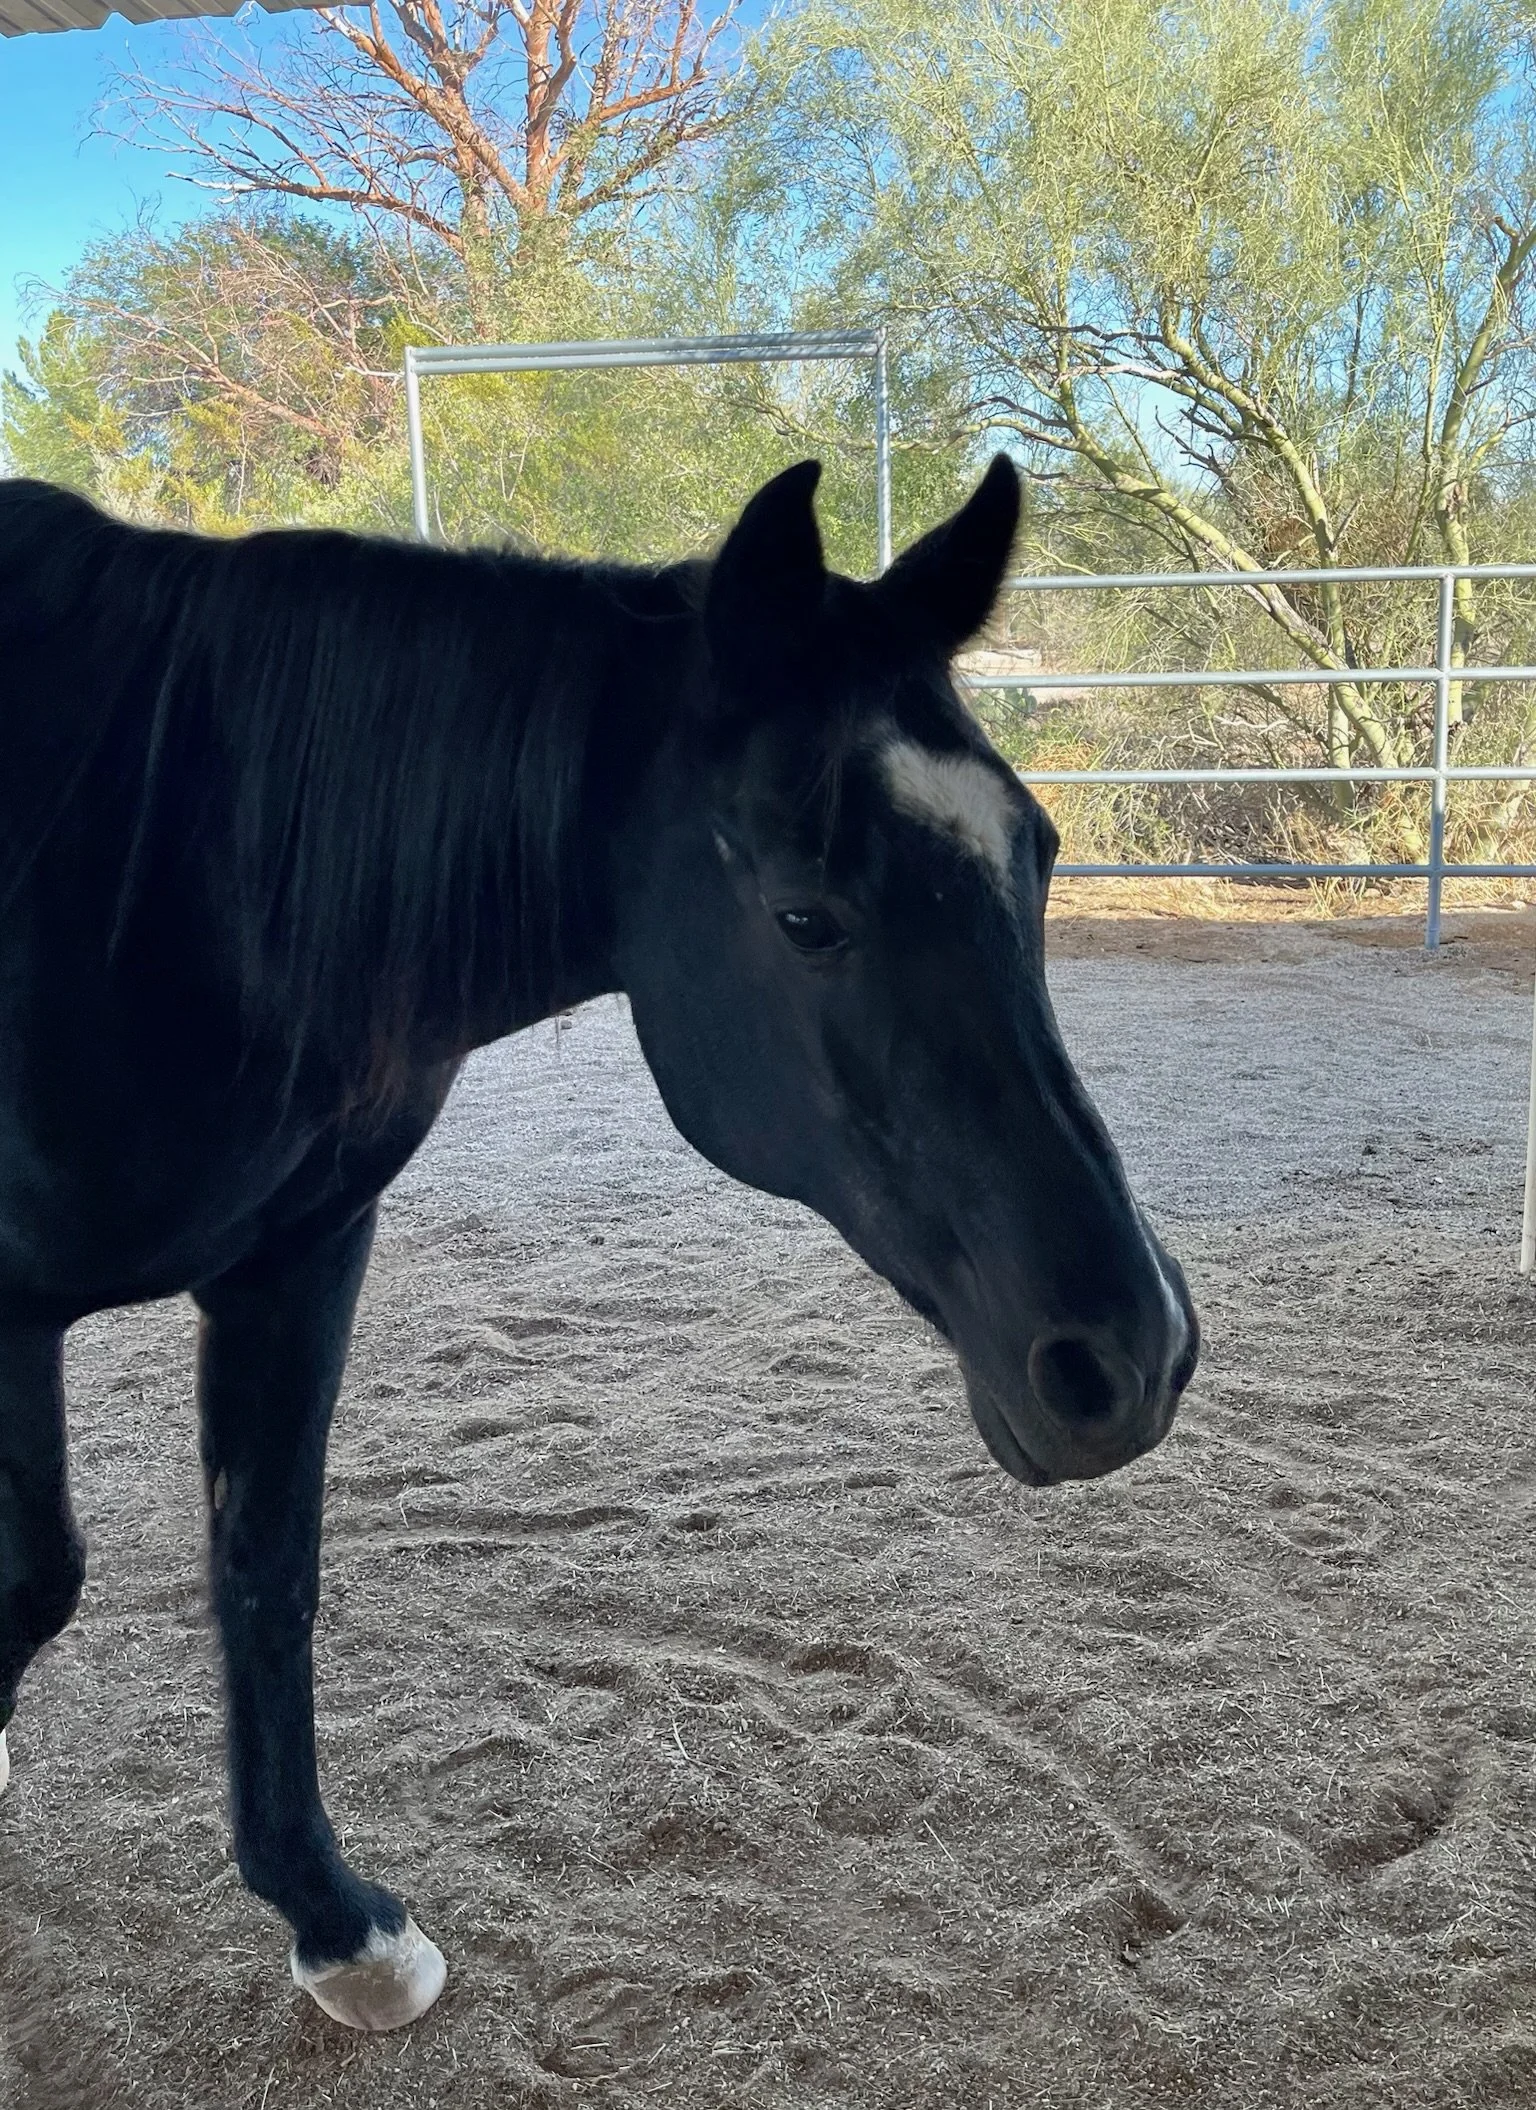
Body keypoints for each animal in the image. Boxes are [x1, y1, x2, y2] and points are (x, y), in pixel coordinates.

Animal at [0, 456, 1197, 2031]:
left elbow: (266, 1569)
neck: (161, 878)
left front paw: (334, 1921)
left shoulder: (300, 1259)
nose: (1132, 1358)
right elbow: (36, 1579)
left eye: (1040, 857)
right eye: (807, 914)